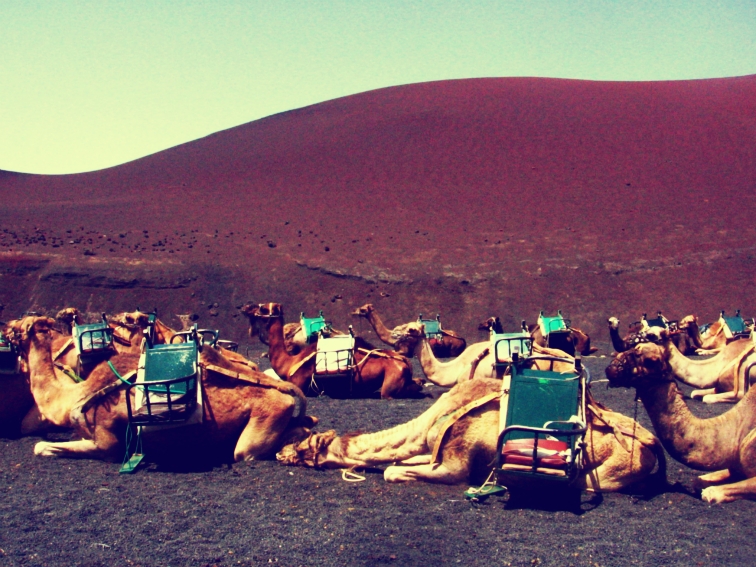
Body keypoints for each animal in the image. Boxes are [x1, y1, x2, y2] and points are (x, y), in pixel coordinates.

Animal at [8, 318, 316, 464]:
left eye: (20, 325)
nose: (7, 329)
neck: (73, 395)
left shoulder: (107, 442)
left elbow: (41, 446)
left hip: (263, 422)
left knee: (245, 452)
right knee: (303, 426)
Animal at [242, 304, 426, 402]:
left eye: (263, 308)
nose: (245, 308)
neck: (289, 362)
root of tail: (405, 363)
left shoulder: (299, 383)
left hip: (389, 385)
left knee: (388, 393)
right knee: (415, 384)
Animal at [276, 378, 660, 492]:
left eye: (306, 446)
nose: (280, 453)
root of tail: (653, 446)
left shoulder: (456, 463)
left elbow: (392, 471)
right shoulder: (431, 450)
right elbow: (402, 462)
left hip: (603, 474)